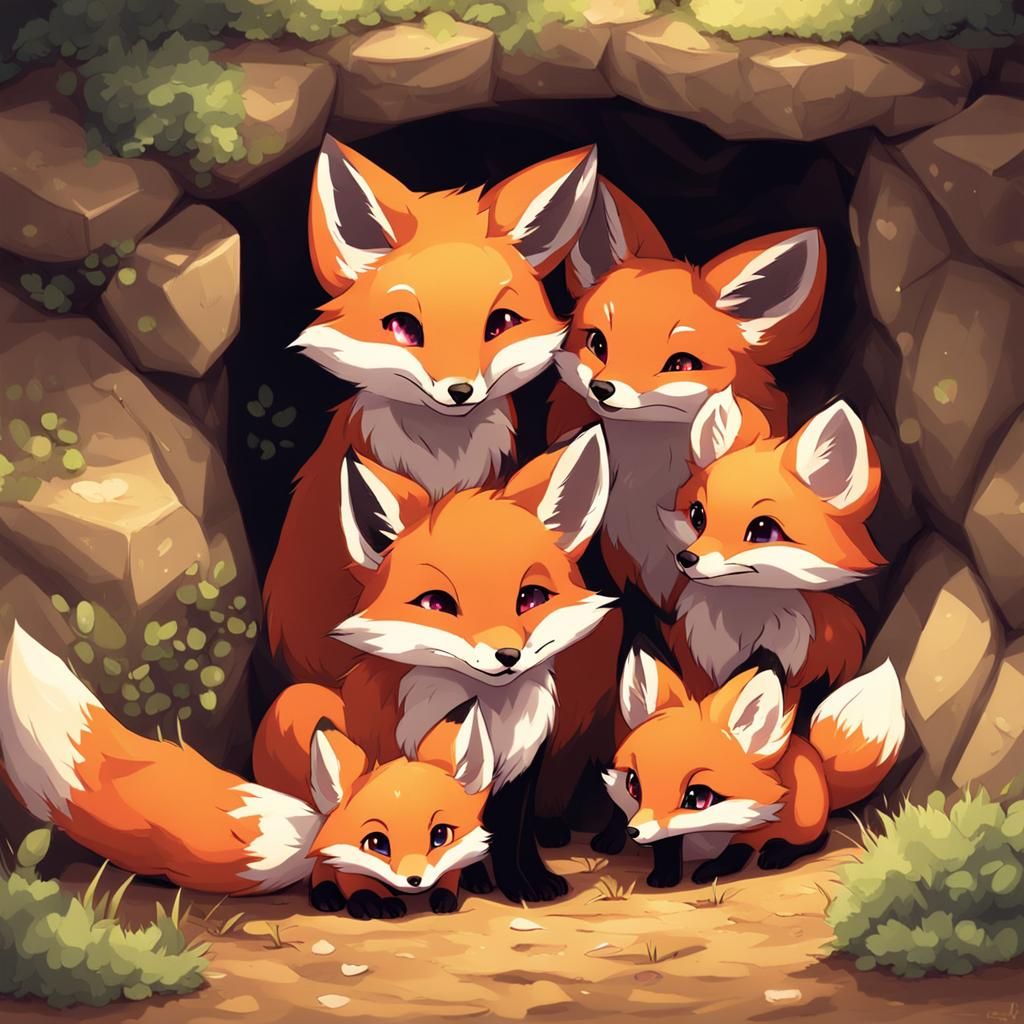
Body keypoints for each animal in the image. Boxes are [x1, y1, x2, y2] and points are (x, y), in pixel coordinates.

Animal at [0, 624, 494, 919]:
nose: (414, 881)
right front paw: (368, 899)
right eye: (377, 842)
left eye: (440, 835)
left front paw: (446, 893)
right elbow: (346, 872)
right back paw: (330, 897)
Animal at [296, 425, 617, 903]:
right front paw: (471, 882)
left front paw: (528, 882)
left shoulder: (521, 772)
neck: (488, 718)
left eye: (531, 598)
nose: (508, 656)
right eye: (436, 604)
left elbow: (511, 836)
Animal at [605, 648, 905, 888]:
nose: (633, 831)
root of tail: (818, 760)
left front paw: (712, 870)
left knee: (819, 838)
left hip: (806, 821)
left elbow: (738, 850)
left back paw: (779, 854)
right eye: (633, 784)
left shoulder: (757, 827)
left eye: (698, 798)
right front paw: (664, 875)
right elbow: (666, 846)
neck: (706, 835)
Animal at [663, 387, 885, 699]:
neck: (742, 620)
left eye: (763, 531)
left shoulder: (790, 674)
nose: (686, 559)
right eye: (697, 516)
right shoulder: (696, 663)